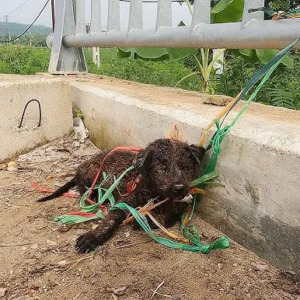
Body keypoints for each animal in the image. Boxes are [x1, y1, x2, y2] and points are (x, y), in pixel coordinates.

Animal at [37, 139, 205, 253]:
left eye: (186, 168)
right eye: (161, 168)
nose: (180, 189)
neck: (156, 194)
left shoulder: (179, 206)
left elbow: (168, 217)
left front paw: (145, 220)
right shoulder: (124, 202)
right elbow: (110, 220)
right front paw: (92, 237)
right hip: (93, 172)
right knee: (83, 187)